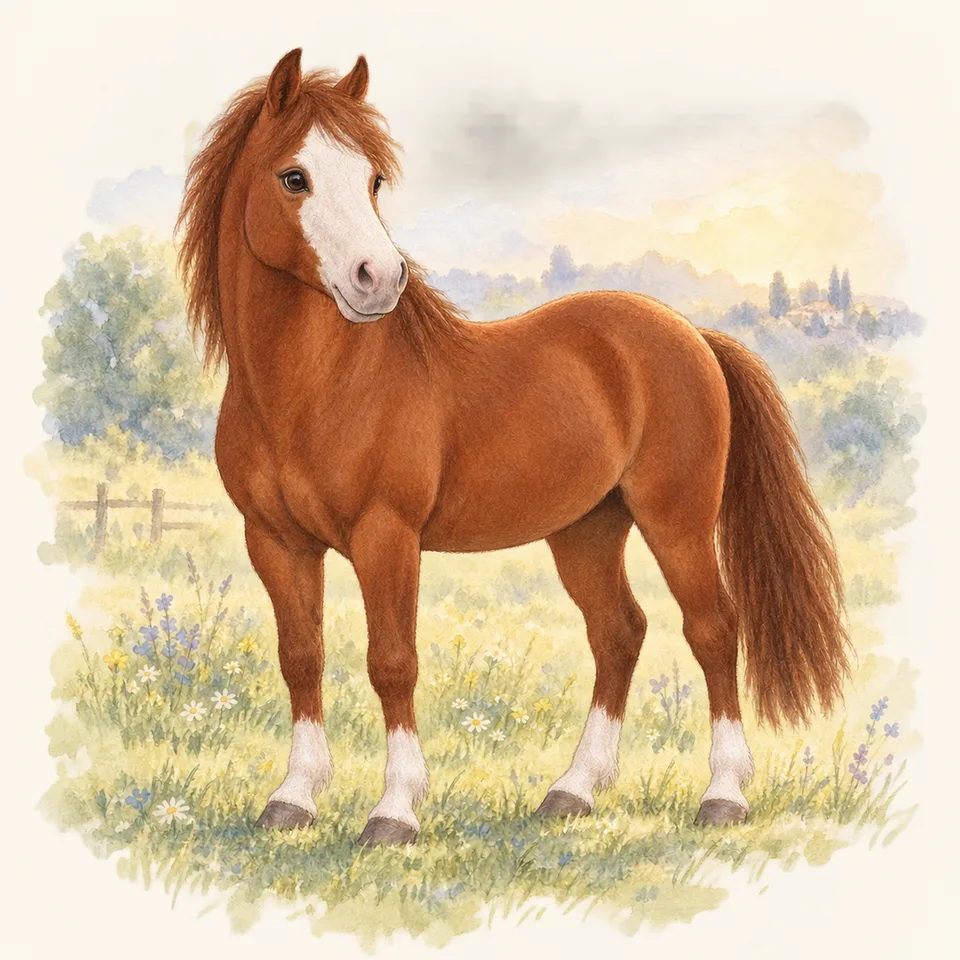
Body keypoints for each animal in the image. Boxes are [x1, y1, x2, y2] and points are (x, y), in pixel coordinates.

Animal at [177, 49, 849, 847]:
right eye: (293, 177)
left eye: (372, 179)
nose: (379, 279)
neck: (314, 389)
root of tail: (690, 334)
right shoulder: (275, 541)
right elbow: (301, 657)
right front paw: (293, 798)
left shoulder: (386, 536)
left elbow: (392, 661)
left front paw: (394, 811)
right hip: (587, 528)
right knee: (619, 632)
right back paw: (574, 790)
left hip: (676, 521)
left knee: (713, 629)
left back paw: (723, 795)